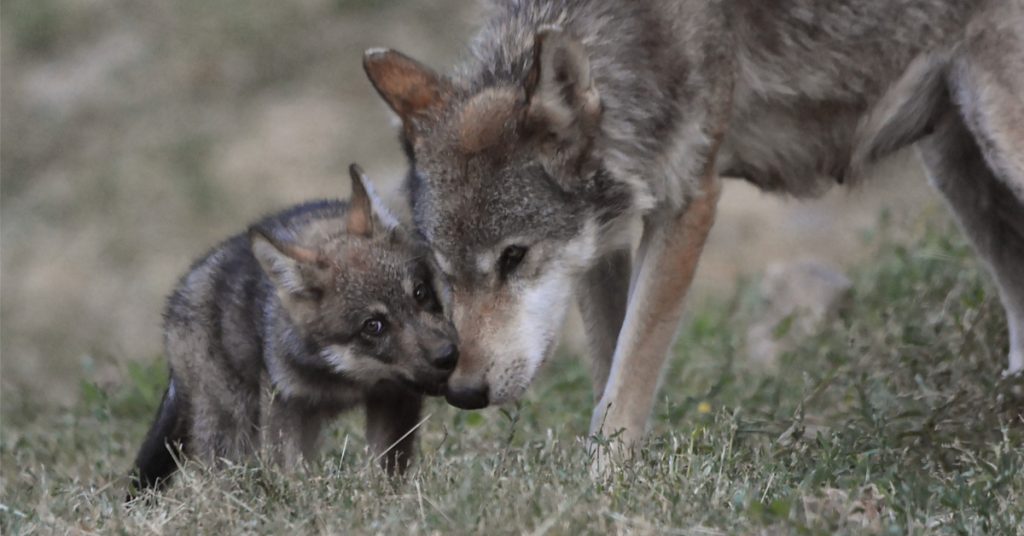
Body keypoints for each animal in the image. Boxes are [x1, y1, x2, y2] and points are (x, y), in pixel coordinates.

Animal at [364, 1, 1024, 448]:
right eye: (442, 275)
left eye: (513, 258)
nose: (463, 393)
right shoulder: (599, 243)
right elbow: (609, 367)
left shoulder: (689, 202)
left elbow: (630, 373)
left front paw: (605, 484)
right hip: (955, 163)